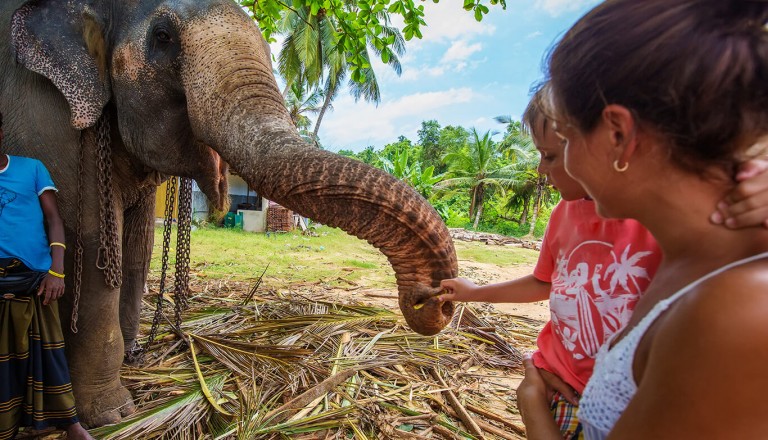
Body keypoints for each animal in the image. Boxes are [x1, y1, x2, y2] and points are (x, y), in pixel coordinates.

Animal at [0, 0, 456, 428]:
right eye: (163, 37)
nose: (430, 301)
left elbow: (137, 247)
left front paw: (134, 358)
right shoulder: (41, 118)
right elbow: (93, 246)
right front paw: (113, 415)